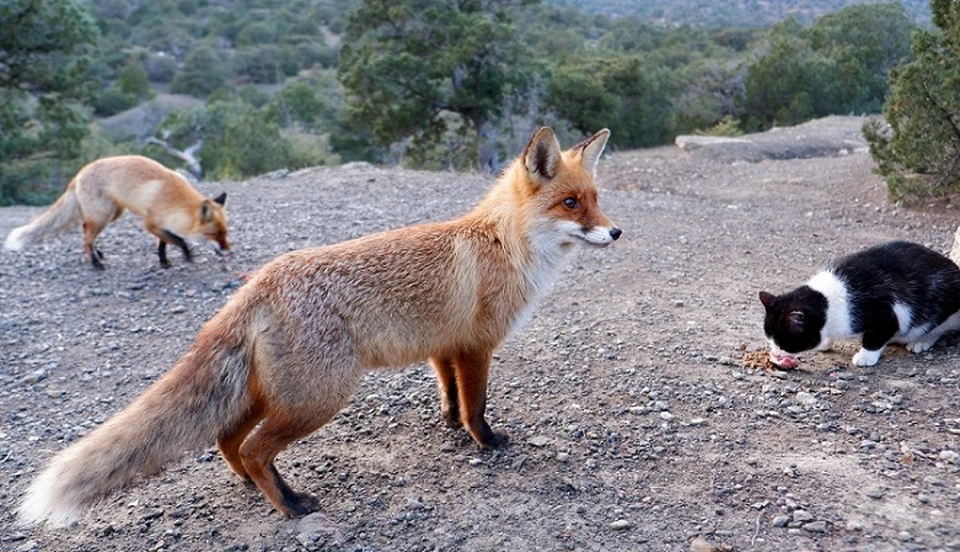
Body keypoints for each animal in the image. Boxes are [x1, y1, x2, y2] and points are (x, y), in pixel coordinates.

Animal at [4, 154, 231, 268]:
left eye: (226, 233)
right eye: (216, 234)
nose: (230, 252)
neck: (173, 200)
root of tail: (78, 174)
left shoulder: (161, 225)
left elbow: (164, 244)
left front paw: (164, 261)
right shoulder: (150, 223)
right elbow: (180, 240)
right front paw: (187, 255)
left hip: (112, 213)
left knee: (85, 231)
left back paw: (97, 253)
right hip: (103, 216)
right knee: (86, 238)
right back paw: (95, 263)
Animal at [760, 240, 960, 366]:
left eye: (782, 342)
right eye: (769, 338)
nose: (775, 353)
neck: (826, 299)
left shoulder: (886, 312)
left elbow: (876, 336)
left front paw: (865, 357)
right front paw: (826, 342)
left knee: (935, 326)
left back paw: (921, 341)